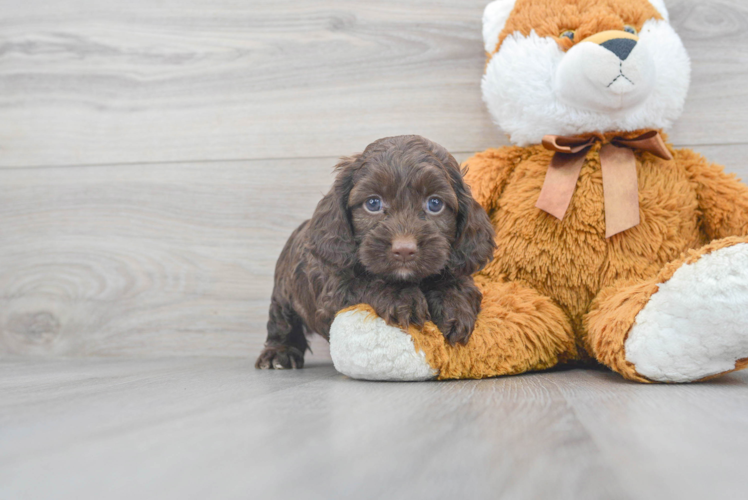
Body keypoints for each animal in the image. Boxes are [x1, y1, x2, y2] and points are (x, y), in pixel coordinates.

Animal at [258, 135, 496, 370]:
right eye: (373, 203)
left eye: (435, 204)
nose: (404, 250)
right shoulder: (335, 288)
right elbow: (365, 281)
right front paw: (401, 297)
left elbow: (457, 282)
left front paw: (454, 307)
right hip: (284, 291)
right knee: (282, 320)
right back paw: (280, 352)